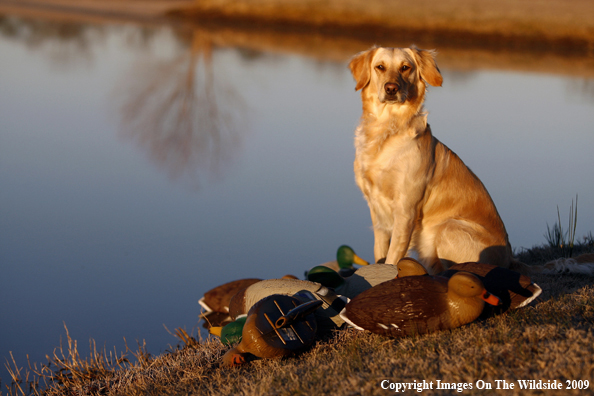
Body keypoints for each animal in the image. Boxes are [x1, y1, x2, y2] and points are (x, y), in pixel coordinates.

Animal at [346, 45, 512, 276]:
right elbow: (380, 250)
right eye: (380, 67)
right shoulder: (376, 209)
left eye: (405, 67)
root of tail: (510, 260)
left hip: (447, 227)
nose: (391, 88)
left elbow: (393, 255)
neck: (387, 128)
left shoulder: (406, 208)